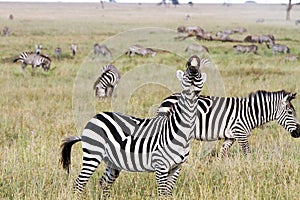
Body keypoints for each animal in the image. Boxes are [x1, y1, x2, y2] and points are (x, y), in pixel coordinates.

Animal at [59, 55, 207, 198]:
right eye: (187, 74)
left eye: (198, 73)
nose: (193, 67)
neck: (181, 132)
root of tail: (95, 117)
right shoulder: (160, 166)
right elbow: (162, 193)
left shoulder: (176, 168)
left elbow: (168, 193)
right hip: (93, 154)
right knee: (79, 182)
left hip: (111, 161)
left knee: (104, 182)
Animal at [157, 90, 300, 157]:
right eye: (290, 112)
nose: (299, 133)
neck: (250, 112)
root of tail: (166, 99)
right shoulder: (240, 133)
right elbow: (247, 153)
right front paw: (250, 169)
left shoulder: (231, 137)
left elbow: (223, 152)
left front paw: (220, 169)